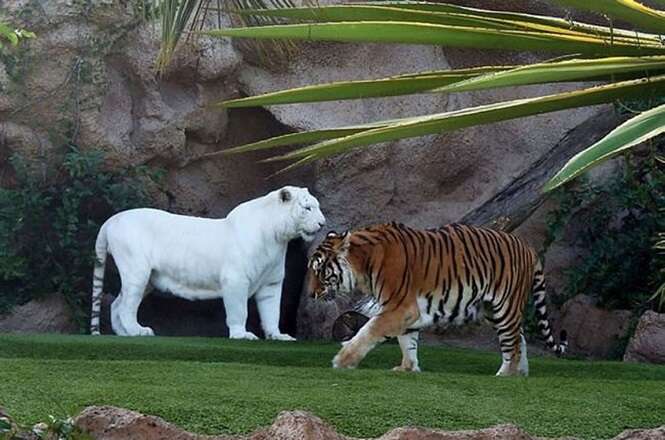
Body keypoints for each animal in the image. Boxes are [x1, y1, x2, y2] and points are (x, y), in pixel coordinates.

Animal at [89, 186, 326, 340]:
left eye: (317, 206)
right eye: (307, 208)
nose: (323, 224)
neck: (277, 238)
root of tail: (112, 220)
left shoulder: (271, 283)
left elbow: (271, 311)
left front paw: (278, 335)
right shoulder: (236, 279)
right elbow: (239, 309)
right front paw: (242, 335)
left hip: (147, 278)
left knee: (117, 304)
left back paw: (123, 333)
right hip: (137, 270)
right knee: (126, 305)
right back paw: (138, 331)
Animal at [306, 223, 564, 374]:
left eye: (320, 271)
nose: (310, 294)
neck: (363, 264)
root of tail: (529, 248)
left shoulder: (400, 307)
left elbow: (369, 331)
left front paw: (343, 360)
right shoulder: (406, 312)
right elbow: (407, 342)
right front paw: (407, 368)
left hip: (505, 307)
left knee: (513, 343)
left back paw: (505, 375)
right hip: (492, 308)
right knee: (520, 338)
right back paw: (521, 373)